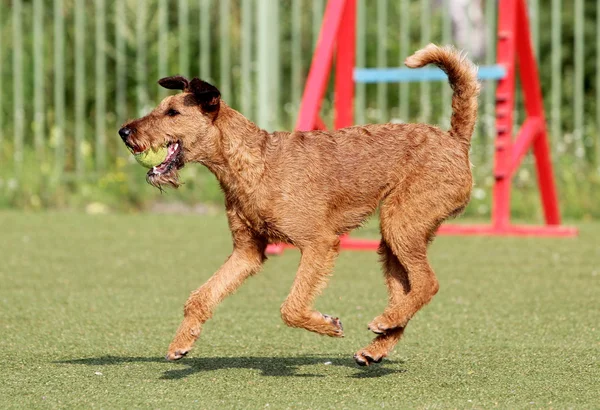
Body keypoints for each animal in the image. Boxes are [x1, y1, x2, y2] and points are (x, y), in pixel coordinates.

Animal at [119, 44, 480, 366]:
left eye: (172, 113)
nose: (124, 131)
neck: (253, 163)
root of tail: (456, 140)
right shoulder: (247, 252)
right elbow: (202, 296)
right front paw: (180, 344)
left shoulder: (319, 243)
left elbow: (290, 307)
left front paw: (328, 325)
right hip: (392, 241)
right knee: (408, 290)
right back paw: (377, 344)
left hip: (399, 222)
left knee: (428, 282)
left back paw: (382, 323)